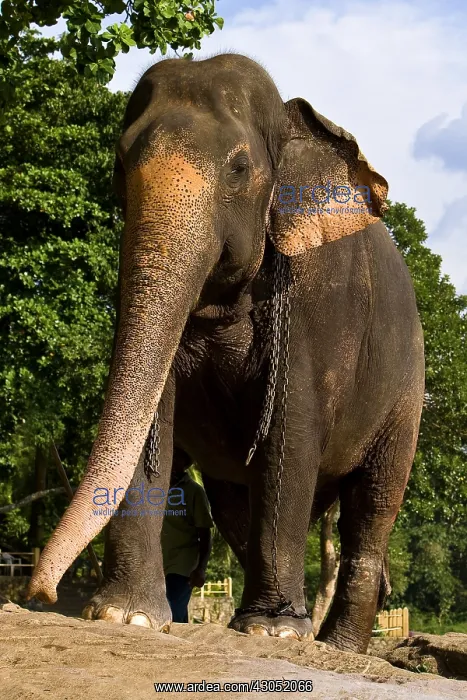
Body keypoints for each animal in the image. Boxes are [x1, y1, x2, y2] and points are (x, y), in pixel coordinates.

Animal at [28, 53, 424, 653]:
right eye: (120, 163)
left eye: (239, 168)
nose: (41, 592)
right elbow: (152, 410)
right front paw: (125, 616)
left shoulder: (312, 301)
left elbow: (290, 431)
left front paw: (272, 631)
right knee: (237, 505)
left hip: (407, 394)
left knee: (373, 505)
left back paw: (334, 645)